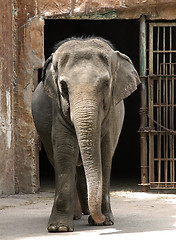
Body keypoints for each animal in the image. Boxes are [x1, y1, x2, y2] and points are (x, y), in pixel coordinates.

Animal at [31, 36, 140, 232]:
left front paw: (104, 222)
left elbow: (105, 153)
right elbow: (65, 149)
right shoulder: (58, 110)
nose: (100, 217)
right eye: (63, 86)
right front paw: (59, 228)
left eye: (106, 84)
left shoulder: (112, 115)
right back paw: (76, 215)